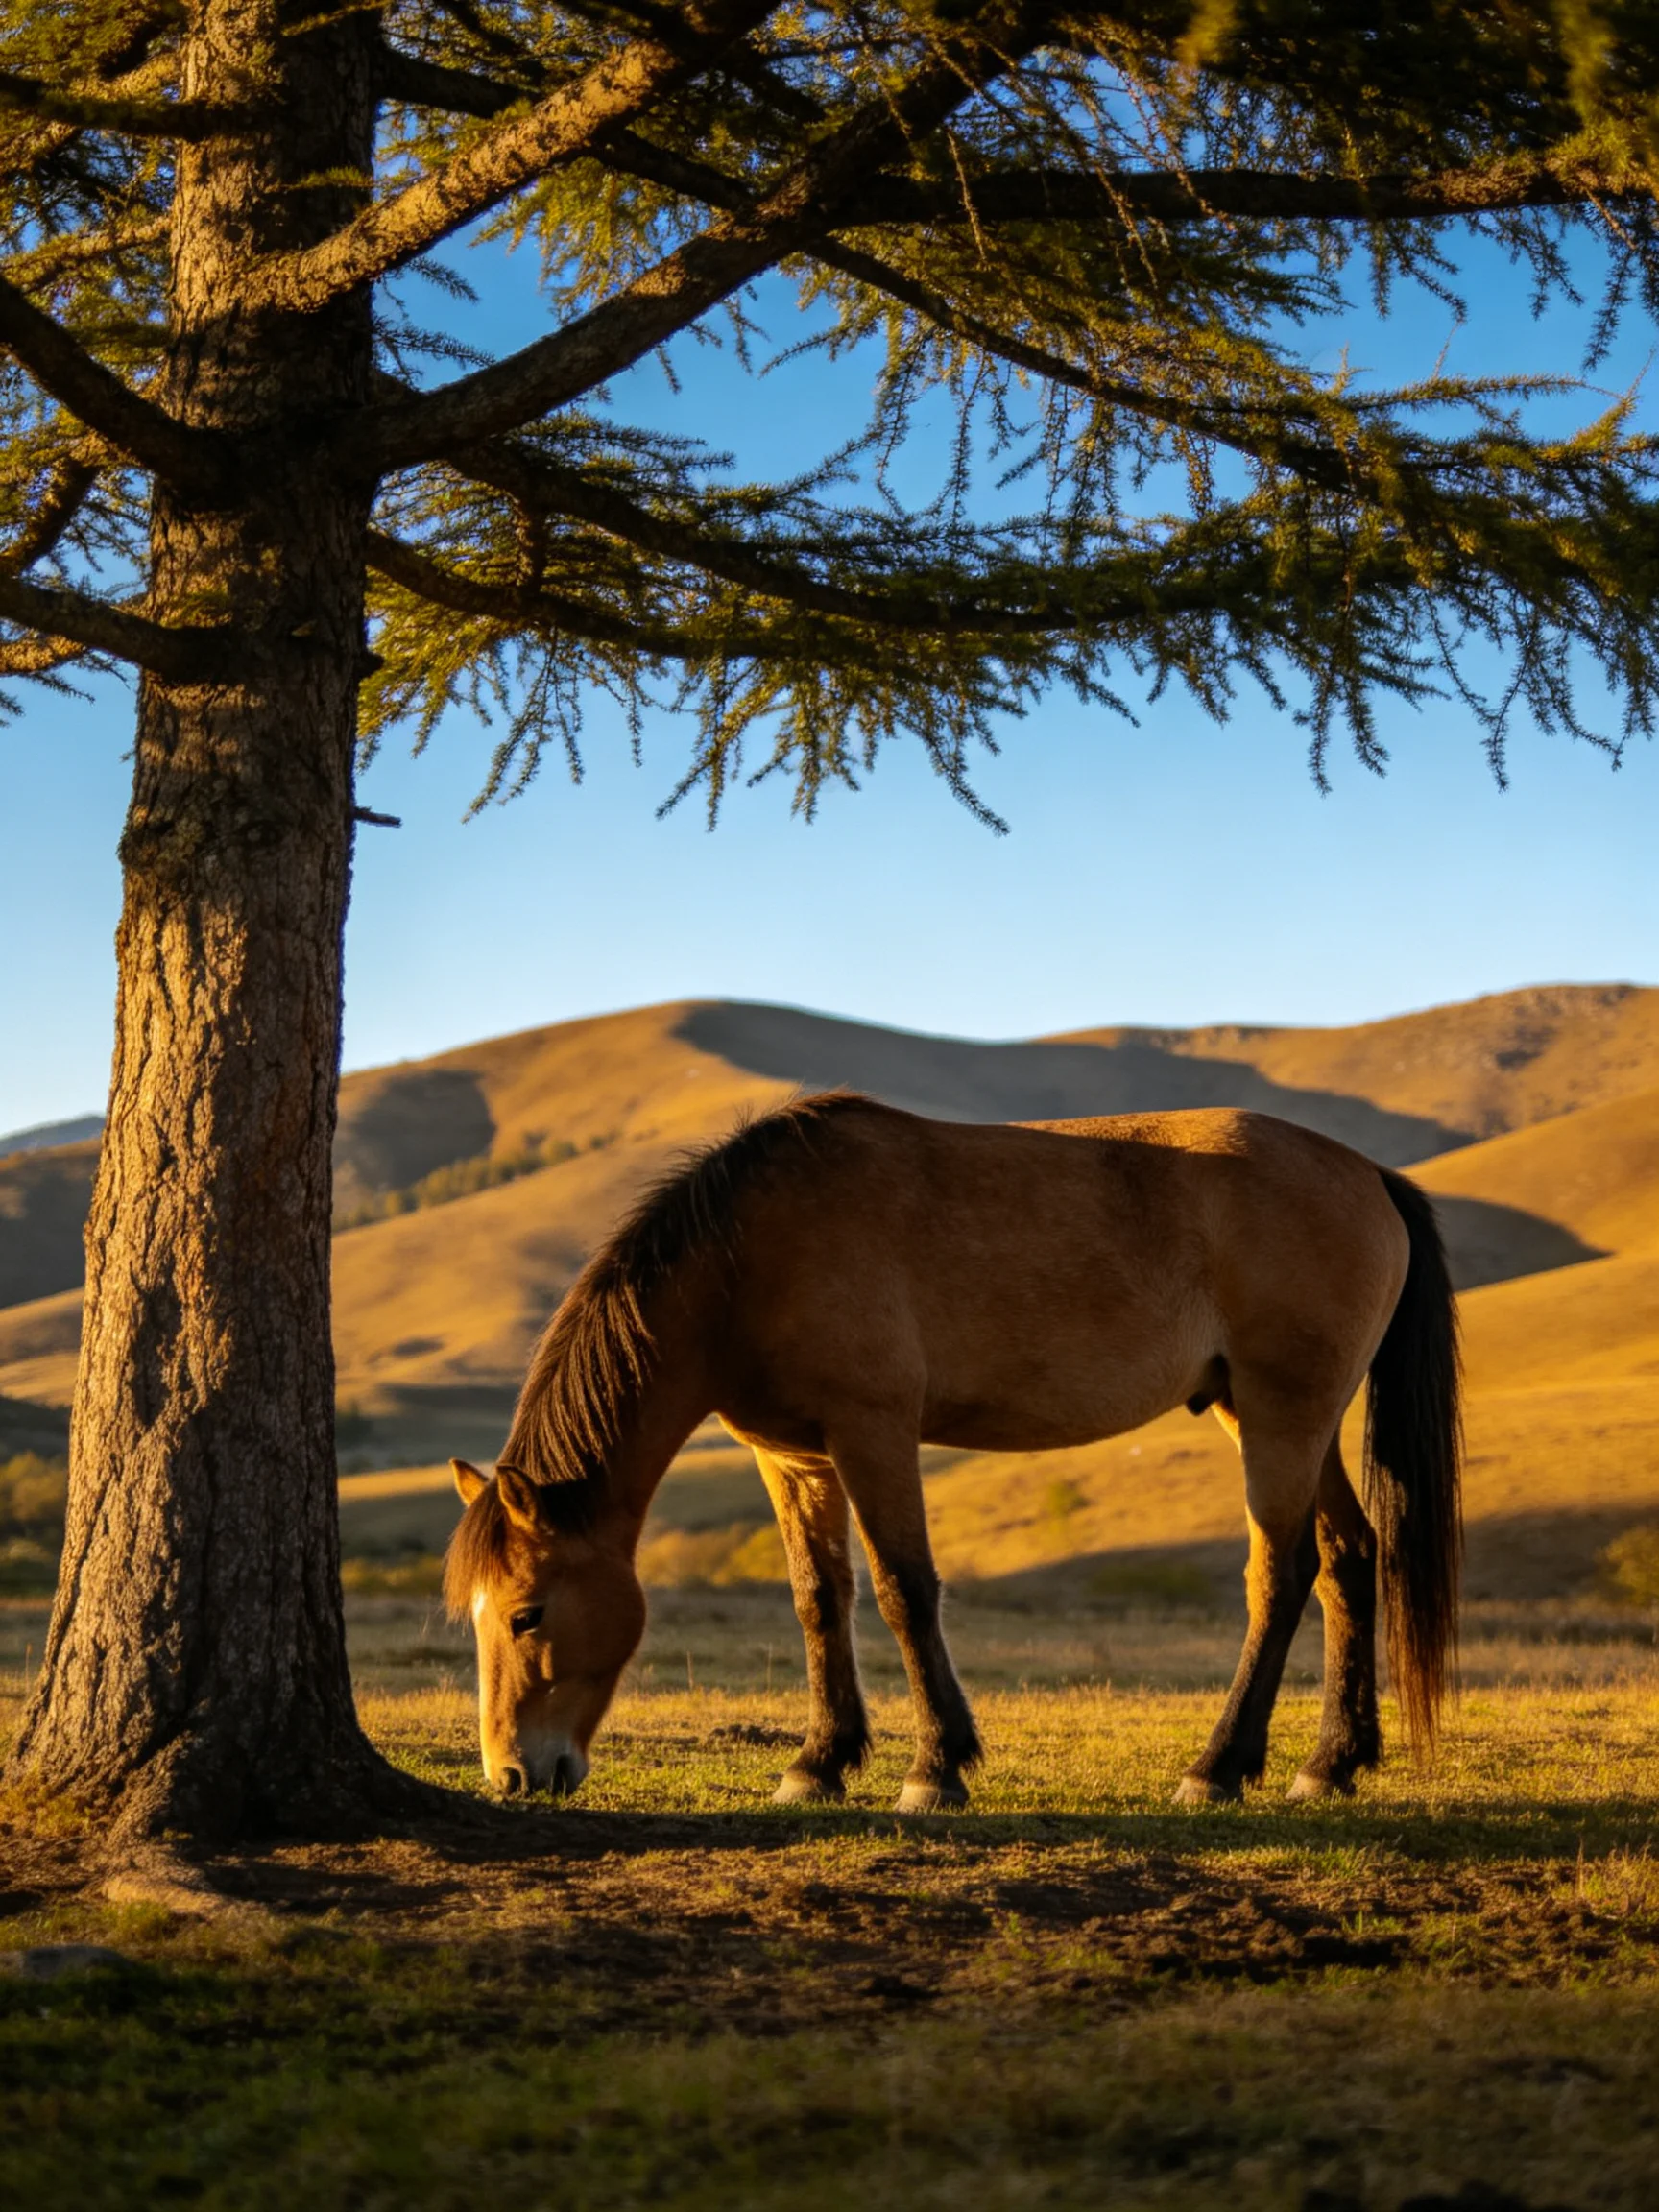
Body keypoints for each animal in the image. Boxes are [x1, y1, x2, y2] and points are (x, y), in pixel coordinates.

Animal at [444, 1091, 1461, 1810]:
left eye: (527, 1615)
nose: (513, 1774)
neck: (752, 1256)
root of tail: (1369, 1175)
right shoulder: (794, 1459)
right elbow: (819, 1599)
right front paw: (819, 1762)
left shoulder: (874, 1431)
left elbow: (903, 1590)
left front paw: (935, 1769)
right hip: (1275, 1415)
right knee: (1348, 1558)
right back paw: (1332, 1763)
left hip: (1284, 1414)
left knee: (1280, 1575)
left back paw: (1218, 1767)